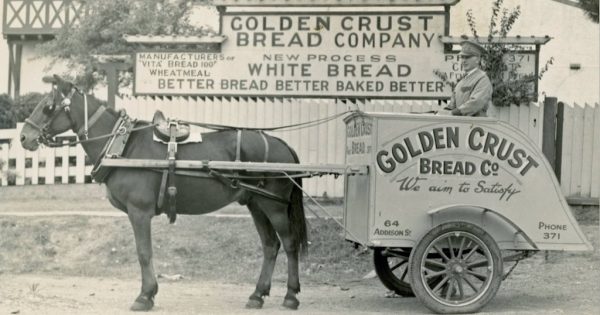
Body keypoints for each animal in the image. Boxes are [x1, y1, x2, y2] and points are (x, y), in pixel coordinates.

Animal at [18, 75, 310, 312]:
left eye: (48, 106)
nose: (24, 137)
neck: (123, 146)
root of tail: (282, 144)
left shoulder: (139, 212)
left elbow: (144, 252)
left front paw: (145, 296)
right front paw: (149, 294)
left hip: (273, 206)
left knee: (289, 243)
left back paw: (290, 295)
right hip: (256, 204)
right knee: (270, 245)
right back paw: (257, 294)